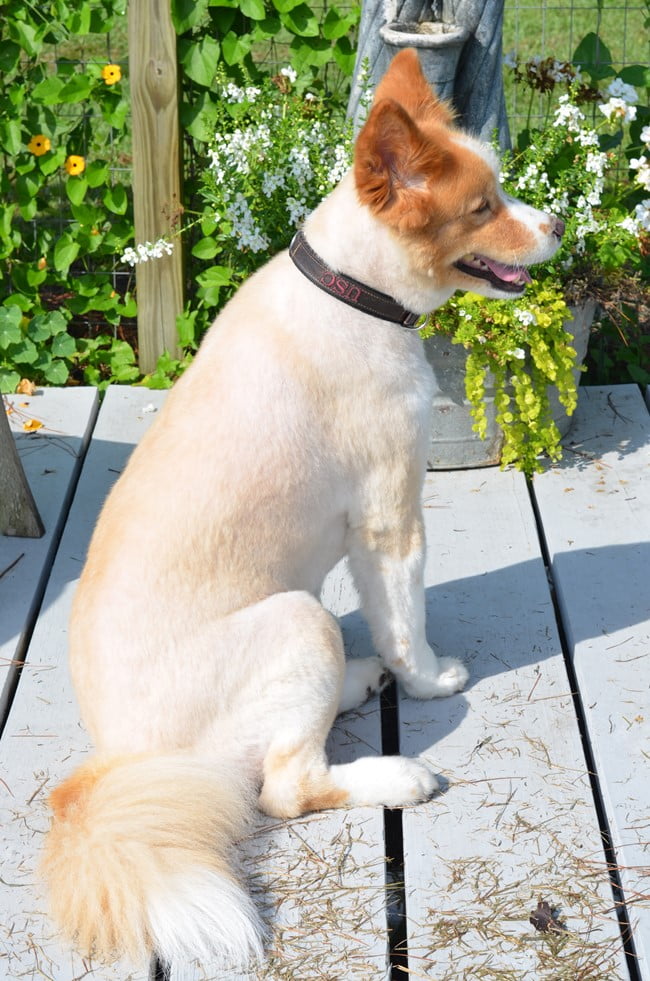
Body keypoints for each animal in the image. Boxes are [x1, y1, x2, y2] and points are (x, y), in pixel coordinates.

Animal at [41, 47, 560, 972]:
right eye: (484, 207)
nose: (562, 224)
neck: (354, 292)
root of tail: (121, 762)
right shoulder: (390, 514)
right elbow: (405, 619)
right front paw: (429, 678)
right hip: (298, 620)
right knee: (287, 786)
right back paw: (400, 772)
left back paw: (358, 682)